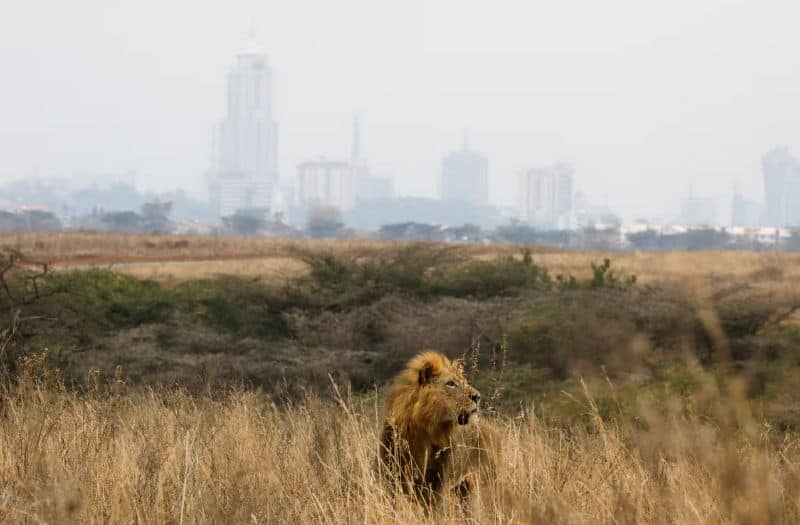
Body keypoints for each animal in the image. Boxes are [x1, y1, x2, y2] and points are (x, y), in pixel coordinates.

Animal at [379, 350, 501, 512]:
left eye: (463, 382)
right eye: (451, 384)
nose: (477, 397)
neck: (423, 429)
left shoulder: (438, 482)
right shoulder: (393, 475)